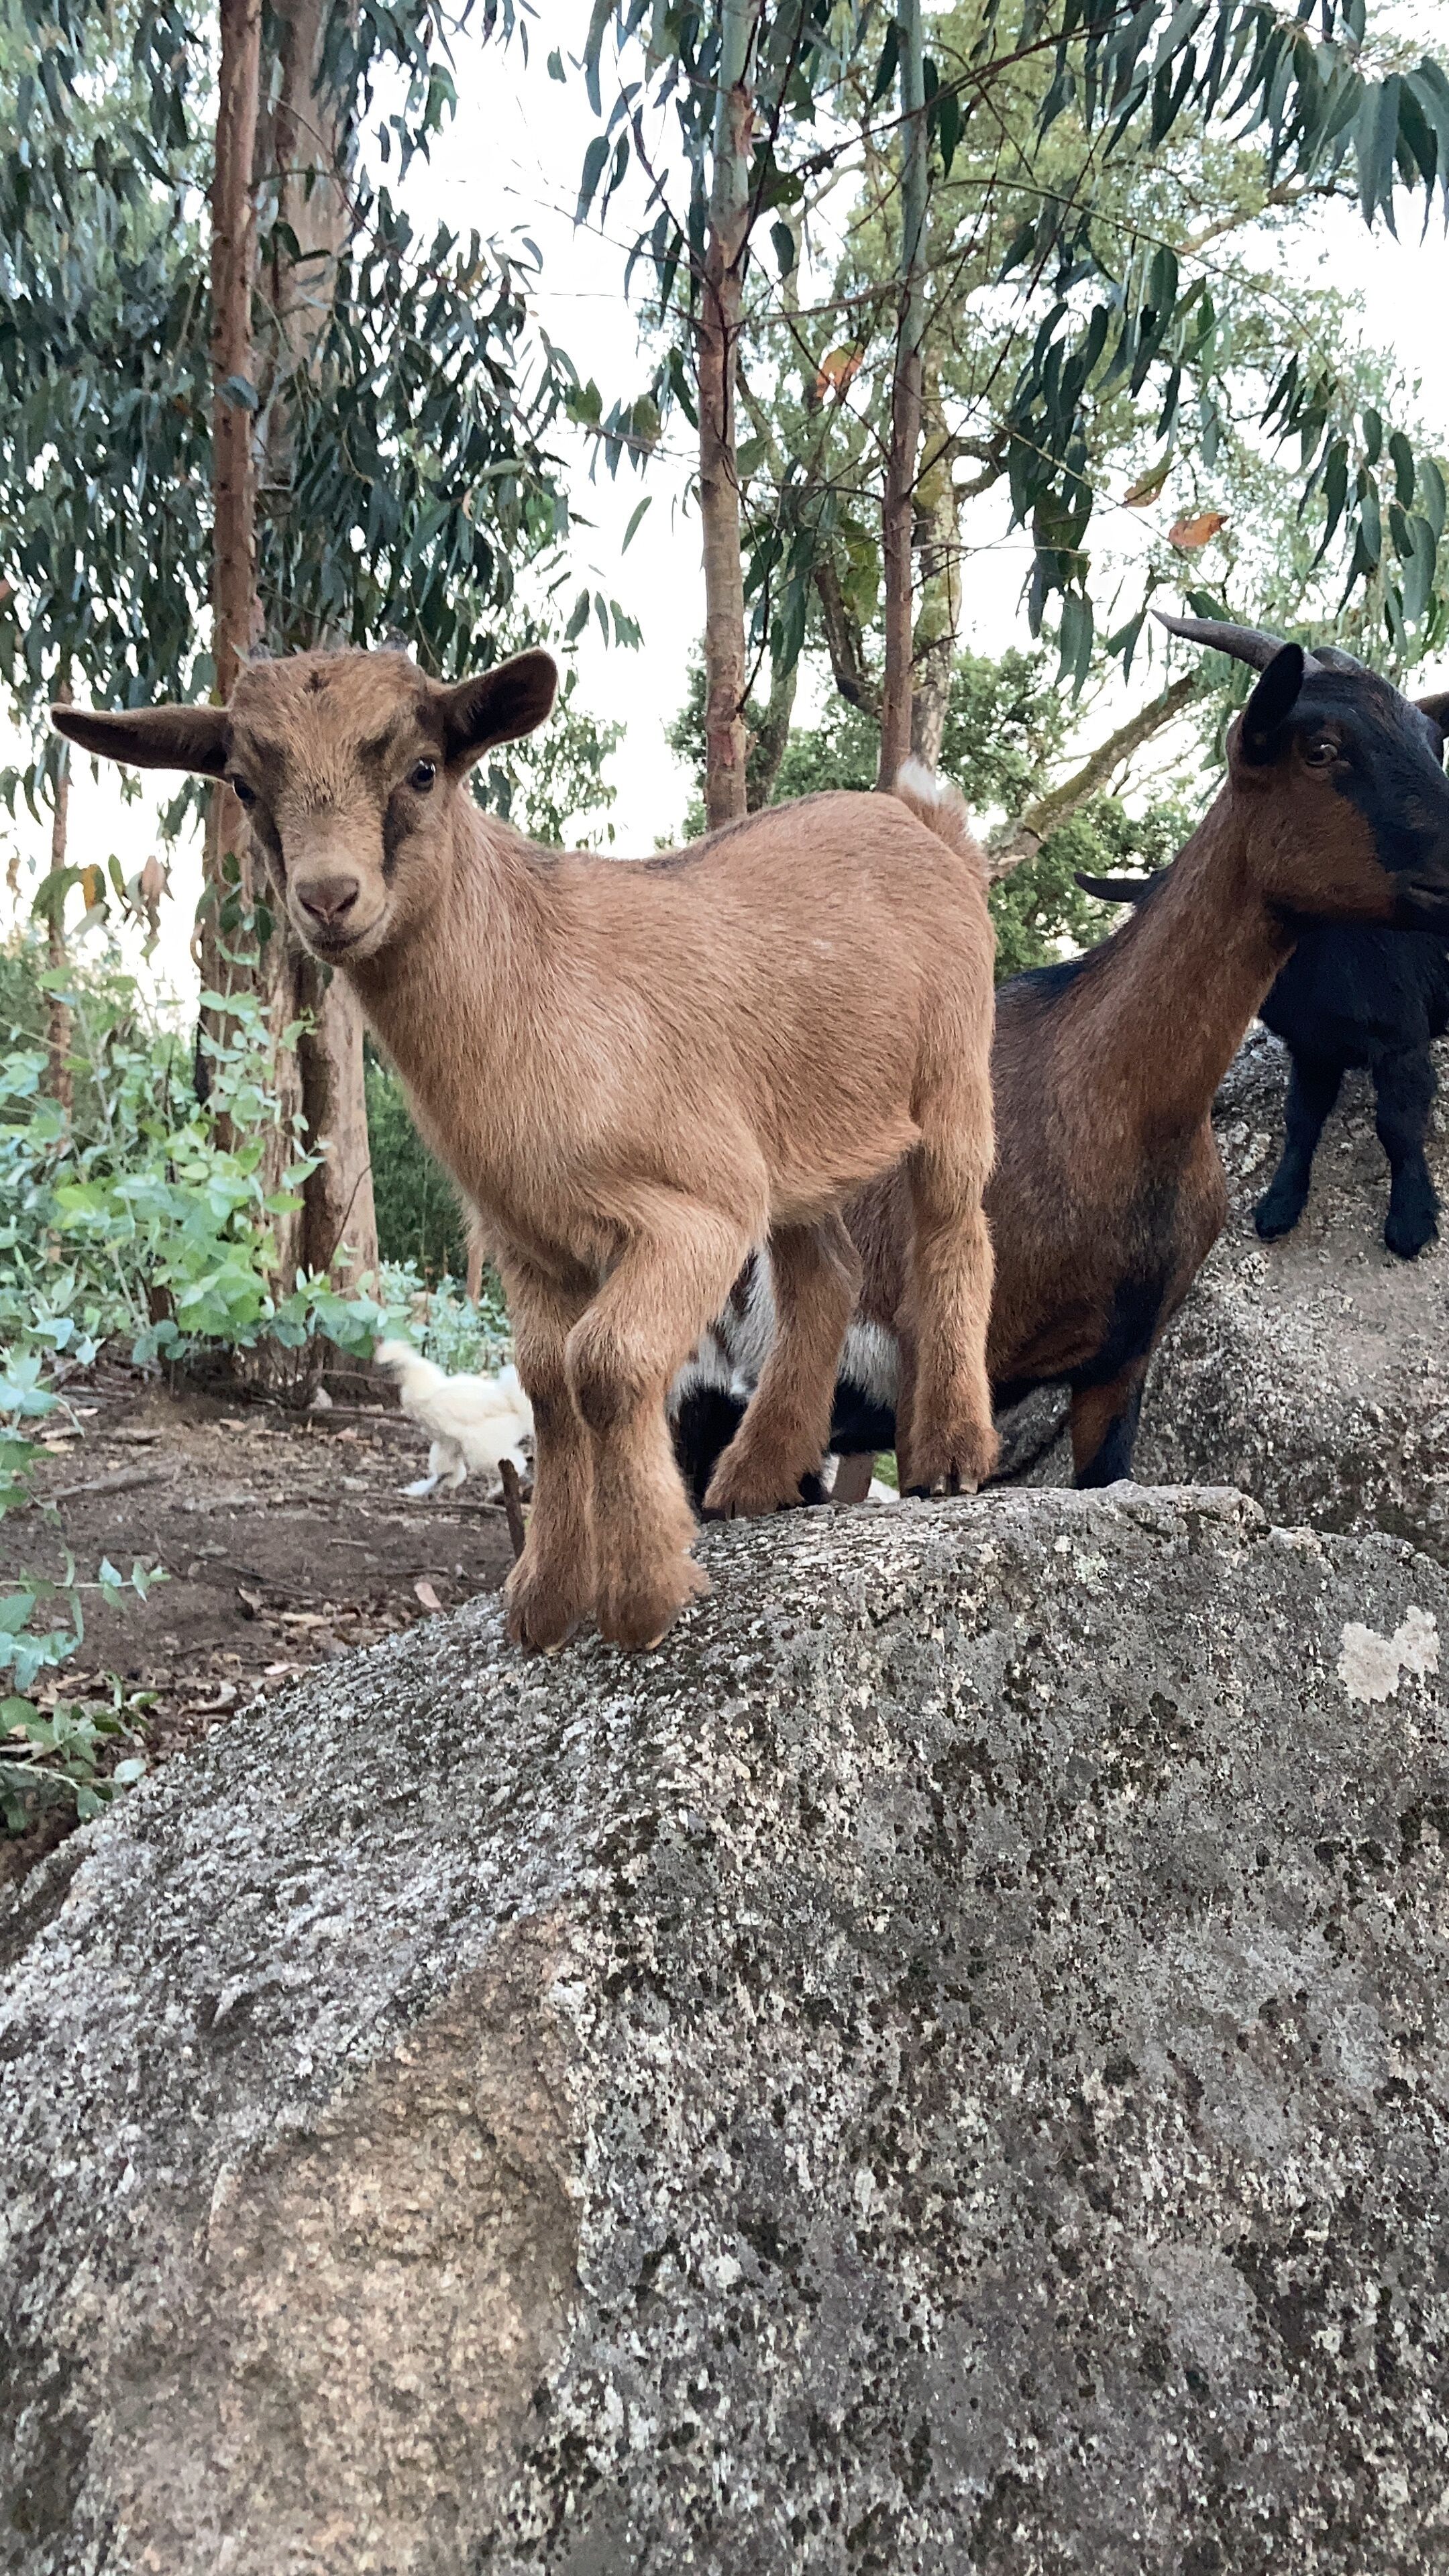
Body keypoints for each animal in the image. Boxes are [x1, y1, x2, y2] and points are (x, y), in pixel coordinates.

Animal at [373, 1339, 533, 1497]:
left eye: (389, 1365)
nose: (378, 1373)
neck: (427, 1392)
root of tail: (511, 1402)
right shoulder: (446, 1441)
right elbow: (446, 1469)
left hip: (483, 1443)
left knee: (514, 1463)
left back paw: (497, 1490)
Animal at [1076, 882, 1449, 1261]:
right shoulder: (1313, 1049)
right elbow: (1302, 1119)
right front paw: (1281, 1202)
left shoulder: (1400, 1042)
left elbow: (1397, 1127)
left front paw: (1410, 1218)